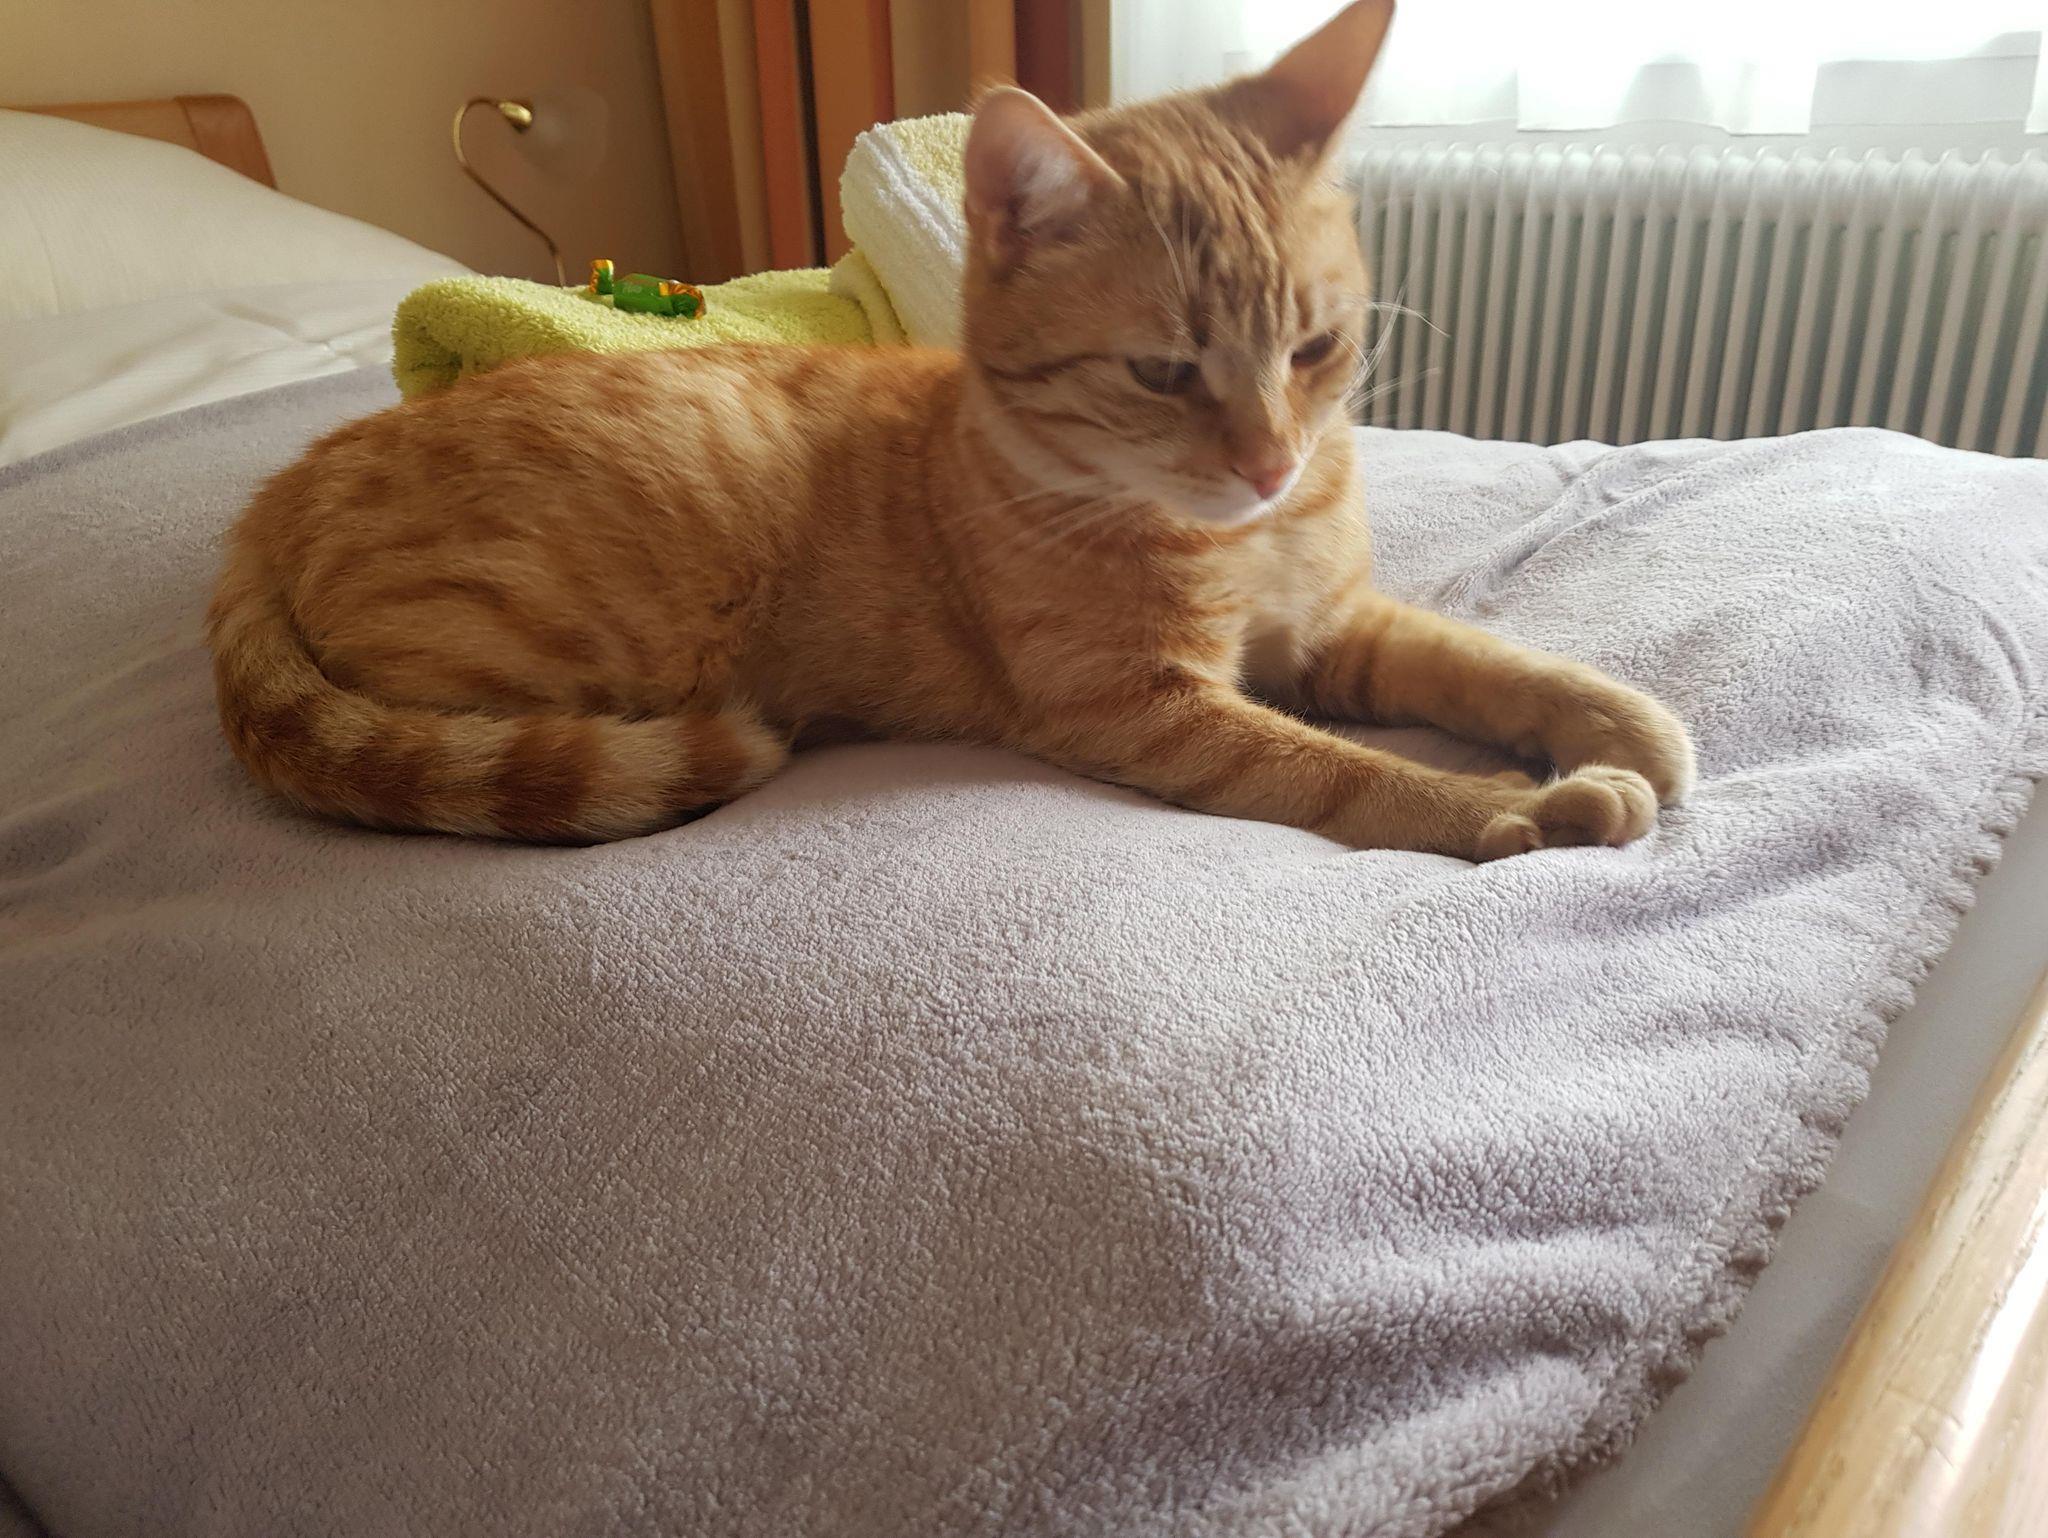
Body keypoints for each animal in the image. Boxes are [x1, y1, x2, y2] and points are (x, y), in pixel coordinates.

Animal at [207, 0, 1693, 859]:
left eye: (1315, 347)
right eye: (1163, 371)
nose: (1270, 462)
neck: (1243, 540)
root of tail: (281, 484)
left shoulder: (1334, 631)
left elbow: (1485, 663)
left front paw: (1615, 719)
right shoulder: (1150, 707)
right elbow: (1349, 776)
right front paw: (1511, 803)